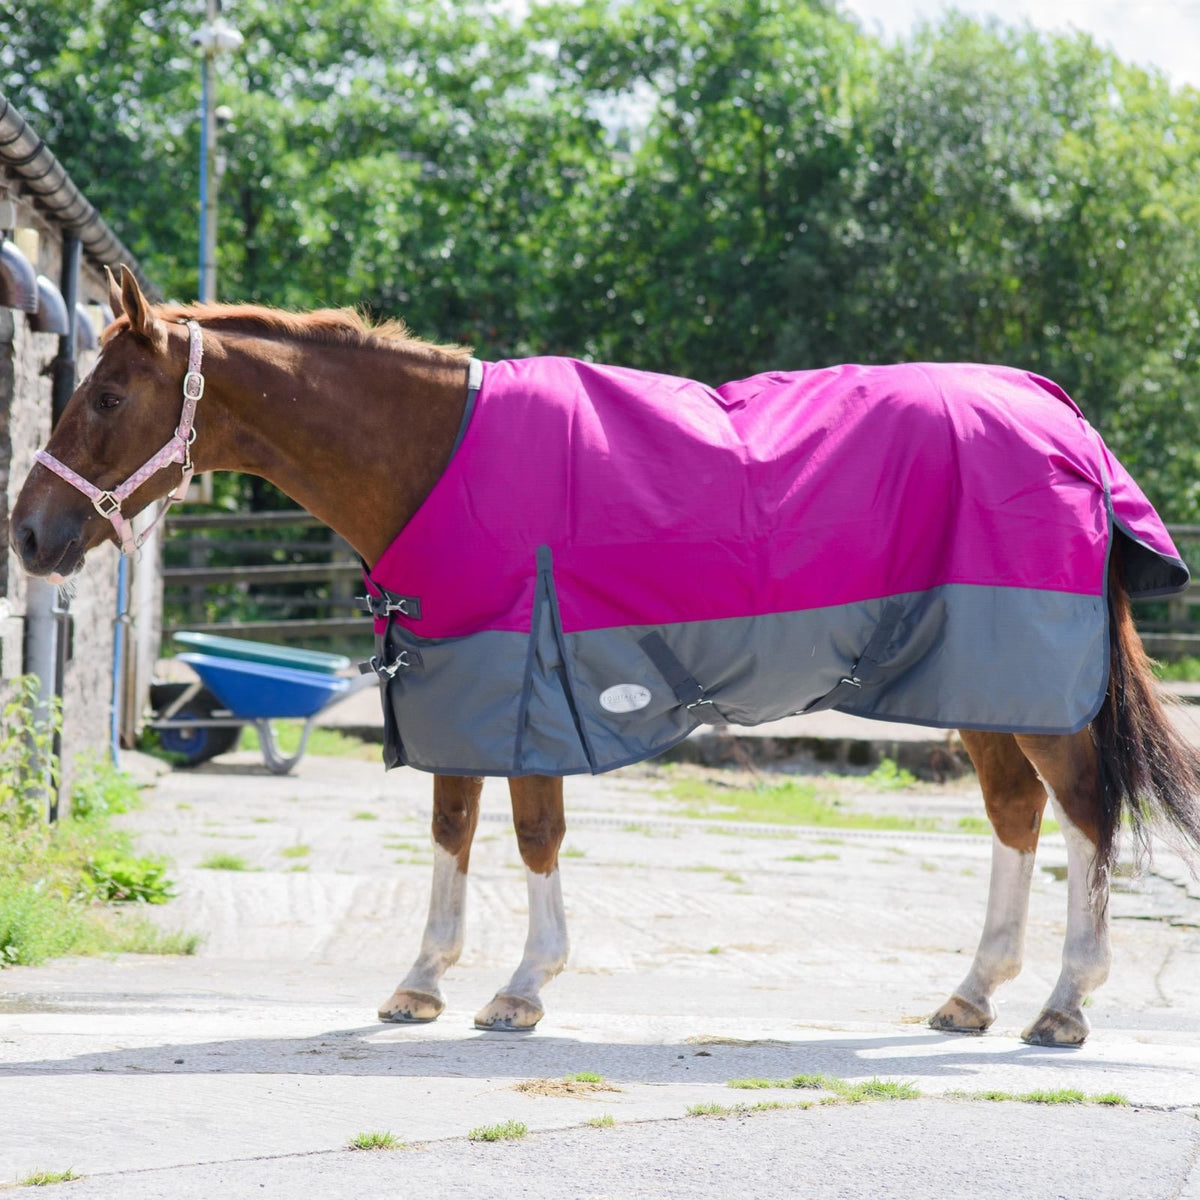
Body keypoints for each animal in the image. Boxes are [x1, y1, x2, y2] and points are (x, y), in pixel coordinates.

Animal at [10, 266, 1200, 1047]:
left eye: (106, 396)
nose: (27, 533)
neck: (436, 454)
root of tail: (1064, 421)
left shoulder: (530, 675)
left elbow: (533, 832)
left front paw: (520, 989)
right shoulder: (457, 673)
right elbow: (452, 827)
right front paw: (421, 982)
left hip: (1026, 679)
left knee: (1084, 810)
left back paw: (1063, 1004)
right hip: (977, 676)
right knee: (1015, 810)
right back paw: (973, 993)